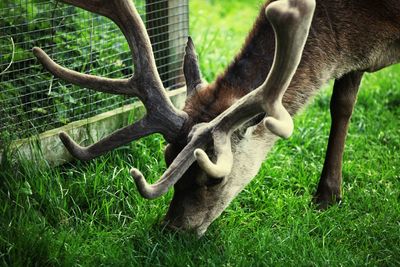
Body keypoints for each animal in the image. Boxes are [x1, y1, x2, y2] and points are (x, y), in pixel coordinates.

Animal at [32, 0, 400, 236]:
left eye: (213, 178)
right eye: (167, 157)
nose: (171, 229)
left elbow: (342, 105)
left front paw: (327, 195)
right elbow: (342, 106)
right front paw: (329, 195)